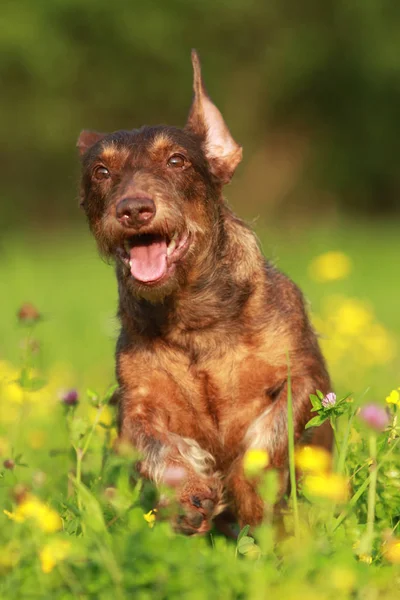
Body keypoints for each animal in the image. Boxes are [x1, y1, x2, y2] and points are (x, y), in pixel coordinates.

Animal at [77, 51, 332, 536]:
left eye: (177, 161)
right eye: (101, 172)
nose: (134, 209)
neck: (195, 318)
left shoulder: (305, 377)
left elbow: (272, 433)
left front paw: (251, 495)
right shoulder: (136, 403)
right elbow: (154, 442)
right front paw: (187, 493)